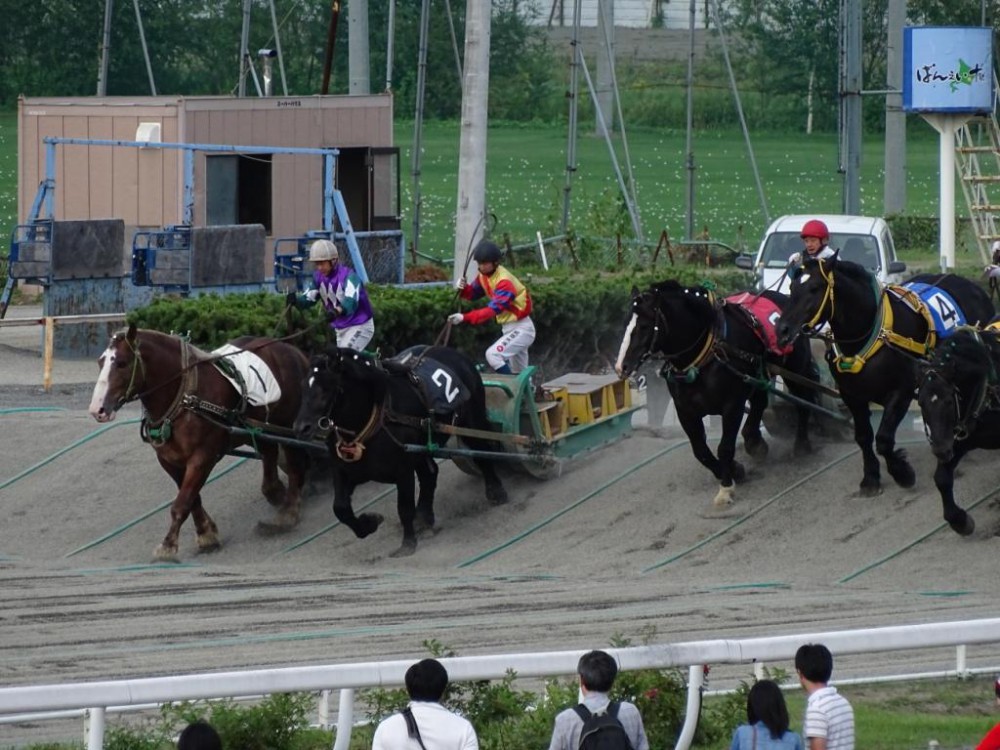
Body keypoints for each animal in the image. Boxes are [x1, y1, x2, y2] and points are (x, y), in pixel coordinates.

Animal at [88, 326, 310, 560]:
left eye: (121, 363)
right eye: (100, 362)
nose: (97, 409)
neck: (186, 398)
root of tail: (291, 349)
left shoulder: (202, 456)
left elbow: (182, 502)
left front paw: (168, 545)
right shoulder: (169, 460)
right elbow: (192, 499)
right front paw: (206, 533)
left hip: (288, 424)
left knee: (294, 464)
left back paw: (288, 512)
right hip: (261, 428)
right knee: (270, 453)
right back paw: (276, 492)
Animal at [290, 346, 508, 560]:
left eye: (326, 388)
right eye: (303, 387)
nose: (301, 427)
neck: (375, 421)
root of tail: (455, 353)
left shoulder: (403, 471)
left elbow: (404, 509)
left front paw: (408, 543)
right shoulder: (344, 471)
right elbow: (340, 508)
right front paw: (369, 523)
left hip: (471, 420)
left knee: (482, 450)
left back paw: (496, 491)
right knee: (430, 474)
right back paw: (424, 516)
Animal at [616, 280, 820, 508]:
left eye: (643, 326)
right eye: (625, 323)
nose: (621, 366)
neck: (704, 356)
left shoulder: (732, 404)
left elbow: (724, 447)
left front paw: (726, 487)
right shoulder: (685, 410)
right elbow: (701, 451)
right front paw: (734, 470)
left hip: (795, 369)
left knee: (804, 401)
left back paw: (801, 443)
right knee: (760, 401)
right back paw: (754, 442)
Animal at [776, 258, 996, 500]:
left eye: (814, 288)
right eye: (791, 287)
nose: (782, 329)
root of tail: (973, 285)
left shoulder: (901, 391)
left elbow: (883, 439)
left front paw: (902, 473)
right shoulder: (851, 395)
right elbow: (863, 436)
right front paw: (871, 477)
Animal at [916, 328, 1000, 536]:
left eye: (948, 400)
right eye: (921, 403)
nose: (940, 451)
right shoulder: (957, 439)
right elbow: (941, 478)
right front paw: (959, 520)